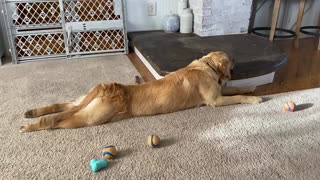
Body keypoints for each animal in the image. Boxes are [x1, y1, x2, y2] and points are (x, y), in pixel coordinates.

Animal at [20, 51, 262, 133]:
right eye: (231, 60)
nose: (237, 62)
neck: (206, 66)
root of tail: (107, 86)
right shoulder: (215, 100)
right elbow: (237, 95)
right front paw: (256, 98)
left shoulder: (220, 93)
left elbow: (238, 88)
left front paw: (253, 87)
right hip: (90, 117)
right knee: (58, 121)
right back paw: (29, 126)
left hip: (83, 103)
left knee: (61, 105)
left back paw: (32, 112)